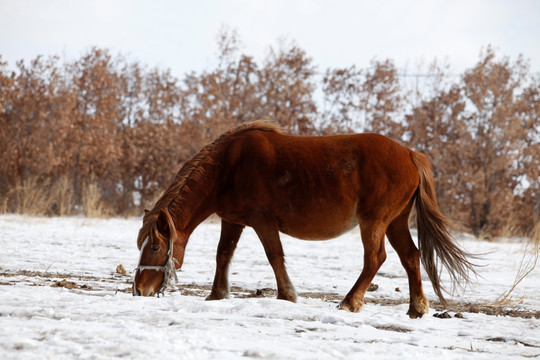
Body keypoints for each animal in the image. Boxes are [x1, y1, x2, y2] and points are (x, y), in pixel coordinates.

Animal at [133, 121, 474, 318]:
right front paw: (217, 294)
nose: (138, 290)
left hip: (375, 221)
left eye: (154, 247)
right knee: (411, 257)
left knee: (376, 258)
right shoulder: (233, 221)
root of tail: (410, 154)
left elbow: (274, 256)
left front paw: (287, 295)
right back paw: (417, 309)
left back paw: (350, 302)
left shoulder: (263, 221)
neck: (229, 166)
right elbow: (223, 255)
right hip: (396, 222)